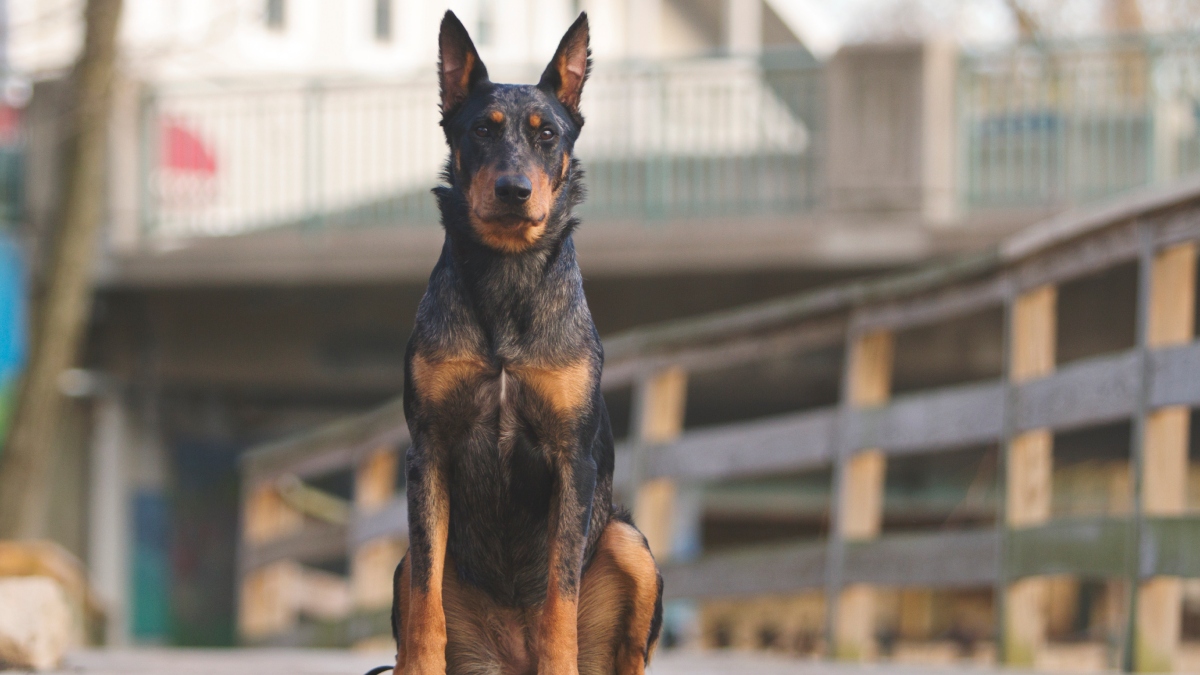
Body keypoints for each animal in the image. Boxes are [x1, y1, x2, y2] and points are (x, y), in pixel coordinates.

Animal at [391, 10, 667, 672]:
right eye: (481, 130)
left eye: (547, 136)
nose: (514, 190)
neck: (507, 274)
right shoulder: (428, 452)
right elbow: (425, 604)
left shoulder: (573, 459)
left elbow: (559, 598)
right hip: (403, 561)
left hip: (629, 542)